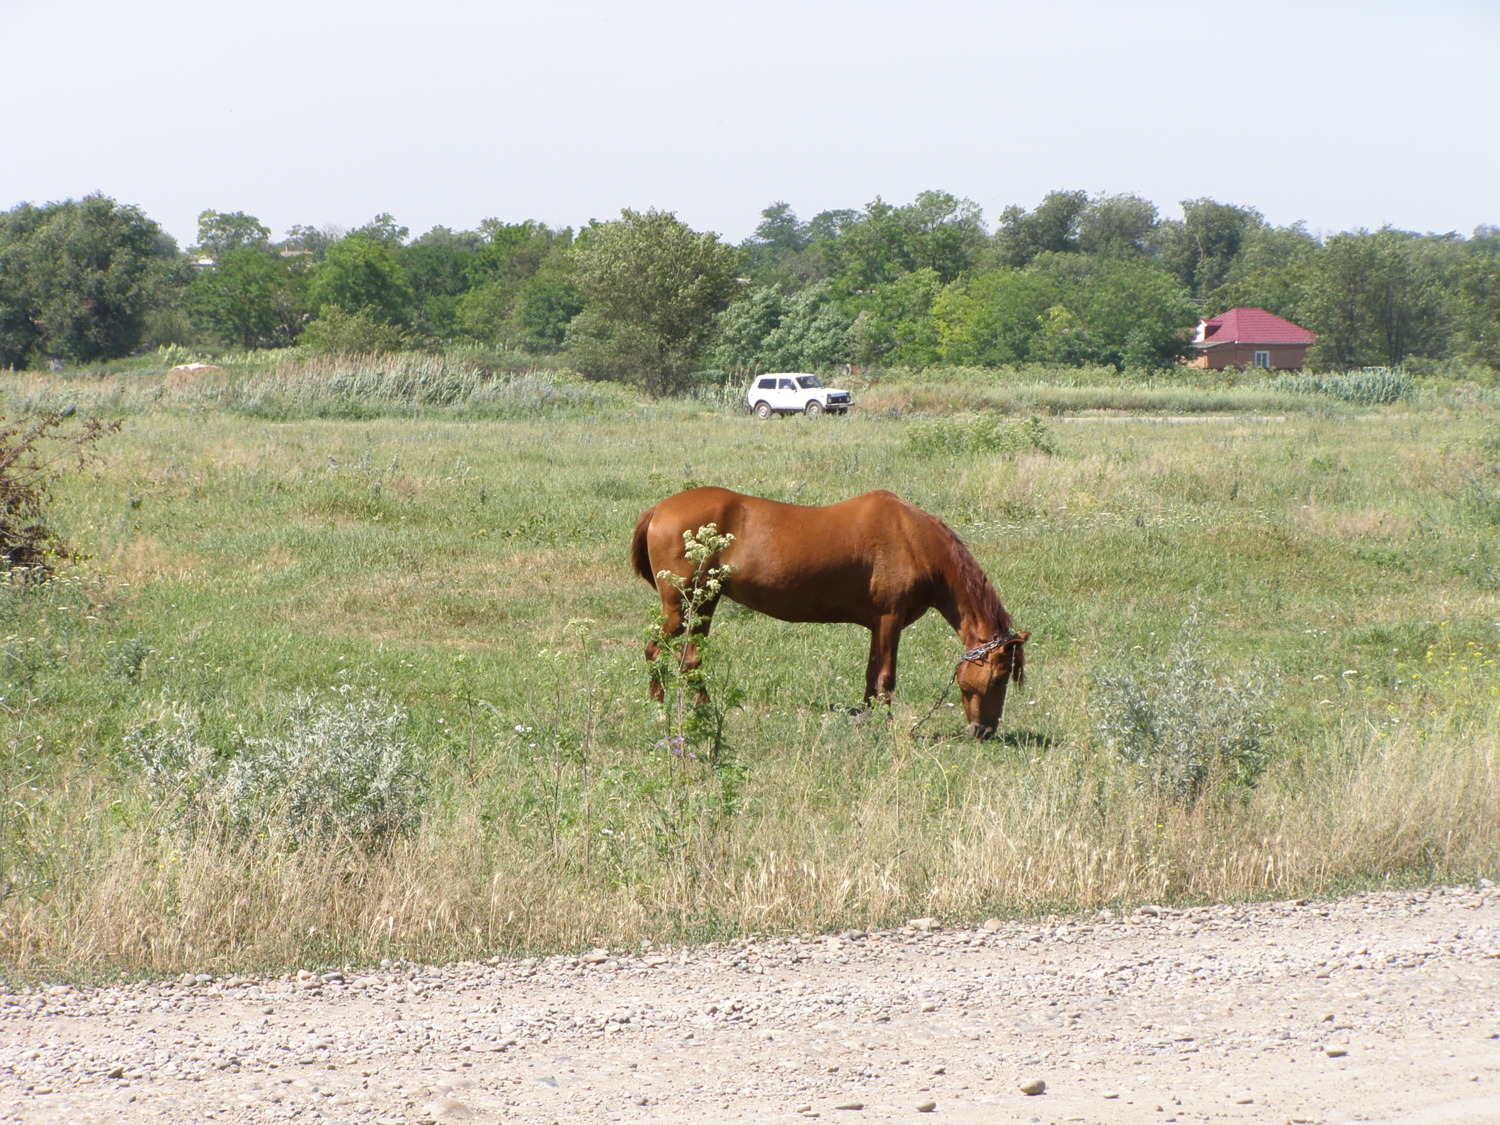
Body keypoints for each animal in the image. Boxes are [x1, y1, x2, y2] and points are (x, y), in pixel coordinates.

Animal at [627, 486, 1026, 741]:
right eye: (999, 678)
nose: (983, 732)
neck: (913, 539)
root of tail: (658, 510)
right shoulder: (890, 619)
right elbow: (886, 678)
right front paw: (883, 724)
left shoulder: (877, 623)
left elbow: (870, 676)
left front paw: (866, 719)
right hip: (680, 608)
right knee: (655, 652)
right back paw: (659, 711)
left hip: (704, 604)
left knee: (690, 660)